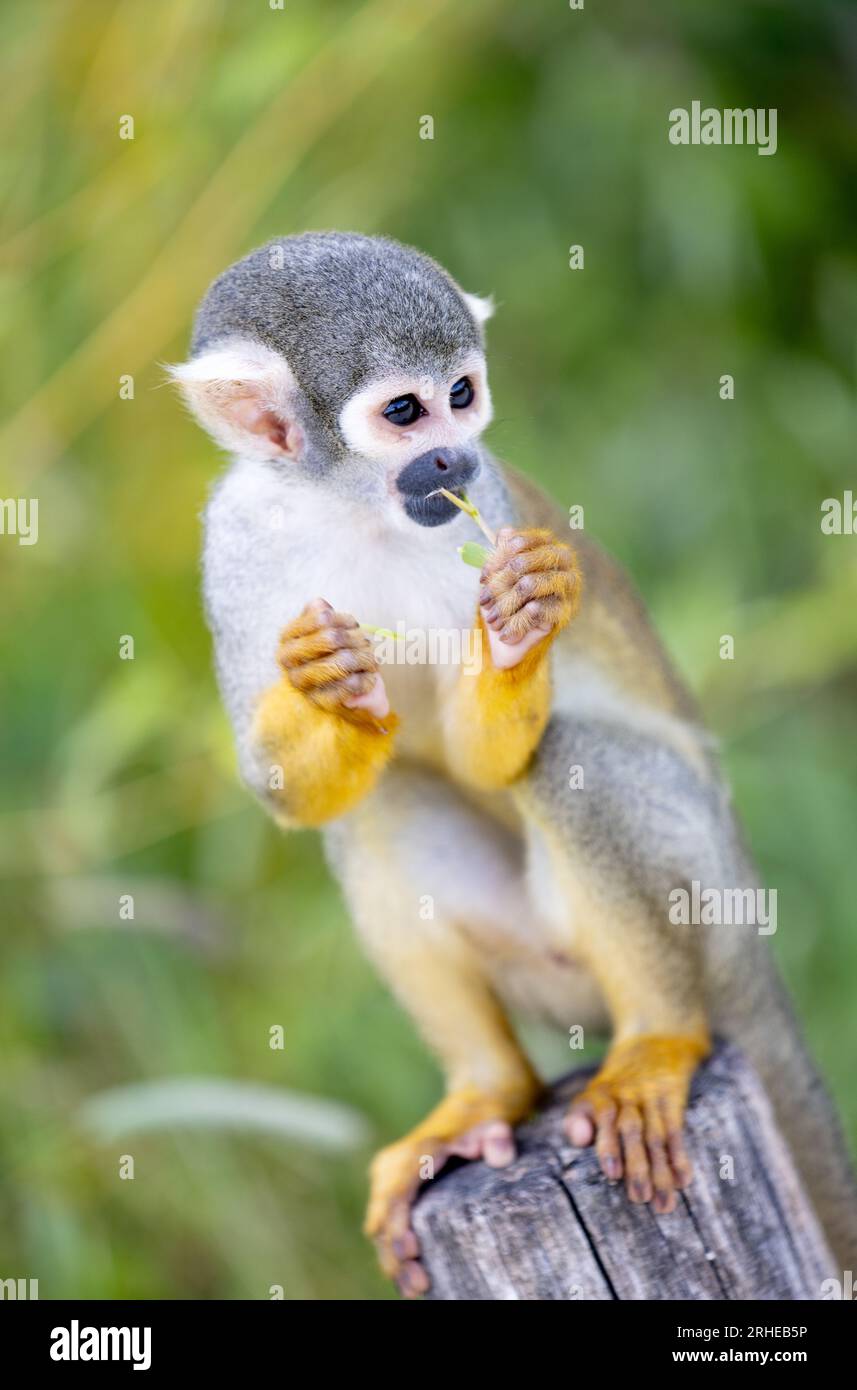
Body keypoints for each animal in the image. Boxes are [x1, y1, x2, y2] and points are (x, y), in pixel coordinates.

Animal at [172, 233, 855, 1295]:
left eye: (462, 393)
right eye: (404, 412)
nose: (452, 454)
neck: (350, 508)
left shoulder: (482, 506)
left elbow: (493, 759)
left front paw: (519, 625)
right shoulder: (235, 542)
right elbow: (281, 792)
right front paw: (323, 687)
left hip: (709, 877)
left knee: (565, 760)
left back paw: (659, 1038)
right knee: (375, 808)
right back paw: (486, 1091)